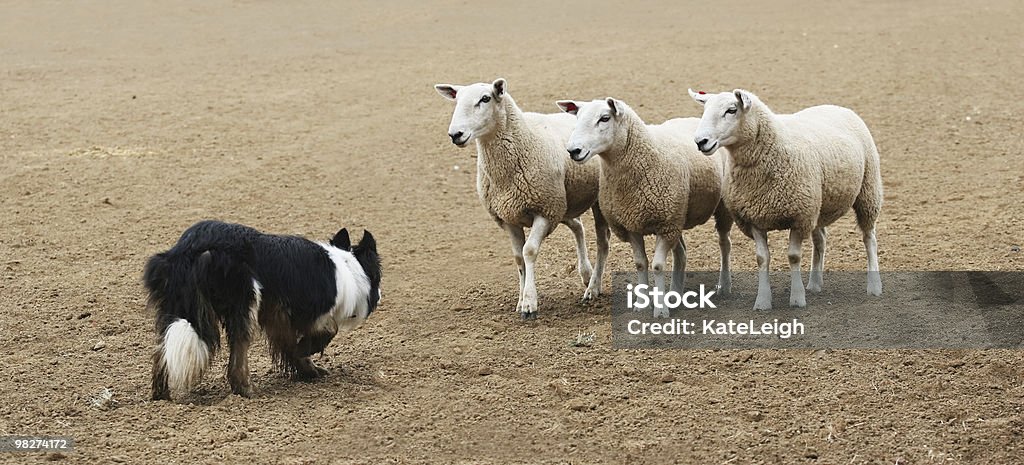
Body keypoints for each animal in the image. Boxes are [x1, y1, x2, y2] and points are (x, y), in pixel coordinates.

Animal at [143, 220, 380, 399]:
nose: (380, 295)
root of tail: (190, 249)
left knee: (162, 351)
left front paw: (308, 370)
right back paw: (246, 390)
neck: (346, 266)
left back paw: (161, 396)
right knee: (238, 354)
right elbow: (329, 329)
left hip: (175, 308)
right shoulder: (309, 311)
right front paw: (307, 350)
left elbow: (291, 346)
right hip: (245, 303)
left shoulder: (277, 316)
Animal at [432, 79, 606, 319]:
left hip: (582, 203)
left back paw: (592, 285)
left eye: (485, 98)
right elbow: (518, 258)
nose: (455, 134)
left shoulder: (544, 211)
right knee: (578, 226)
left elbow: (529, 251)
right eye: (457, 100)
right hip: (563, 204)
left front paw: (529, 303)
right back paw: (586, 274)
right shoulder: (509, 217)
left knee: (599, 239)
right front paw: (521, 299)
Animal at [557, 98, 733, 315]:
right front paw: (642, 305)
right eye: (578, 118)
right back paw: (675, 293)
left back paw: (723, 285)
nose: (573, 151)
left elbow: (657, 266)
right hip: (677, 216)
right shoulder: (633, 224)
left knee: (724, 244)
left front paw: (660, 310)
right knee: (681, 253)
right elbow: (641, 264)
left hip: (717, 209)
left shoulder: (664, 225)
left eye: (604, 118)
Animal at [692, 89, 884, 311]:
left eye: (731, 110)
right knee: (821, 239)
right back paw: (815, 283)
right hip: (818, 204)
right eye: (705, 109)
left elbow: (793, 257)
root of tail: (835, 106)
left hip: (867, 190)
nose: (700, 141)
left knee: (869, 237)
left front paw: (797, 298)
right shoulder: (754, 218)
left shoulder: (799, 217)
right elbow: (762, 258)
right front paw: (763, 301)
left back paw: (874, 286)